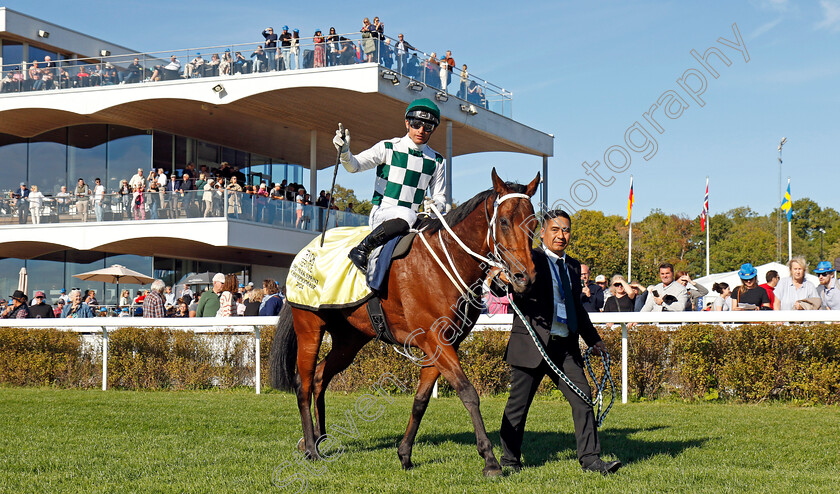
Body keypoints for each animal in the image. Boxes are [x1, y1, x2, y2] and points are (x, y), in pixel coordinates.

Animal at [272, 169, 540, 474]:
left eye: (534, 223)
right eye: (504, 221)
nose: (524, 277)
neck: (446, 262)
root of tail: (304, 251)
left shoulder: (443, 344)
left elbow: (421, 401)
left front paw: (405, 453)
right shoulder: (434, 340)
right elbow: (468, 392)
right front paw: (490, 459)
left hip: (349, 340)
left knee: (319, 378)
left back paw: (318, 440)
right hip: (310, 328)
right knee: (303, 383)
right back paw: (310, 448)